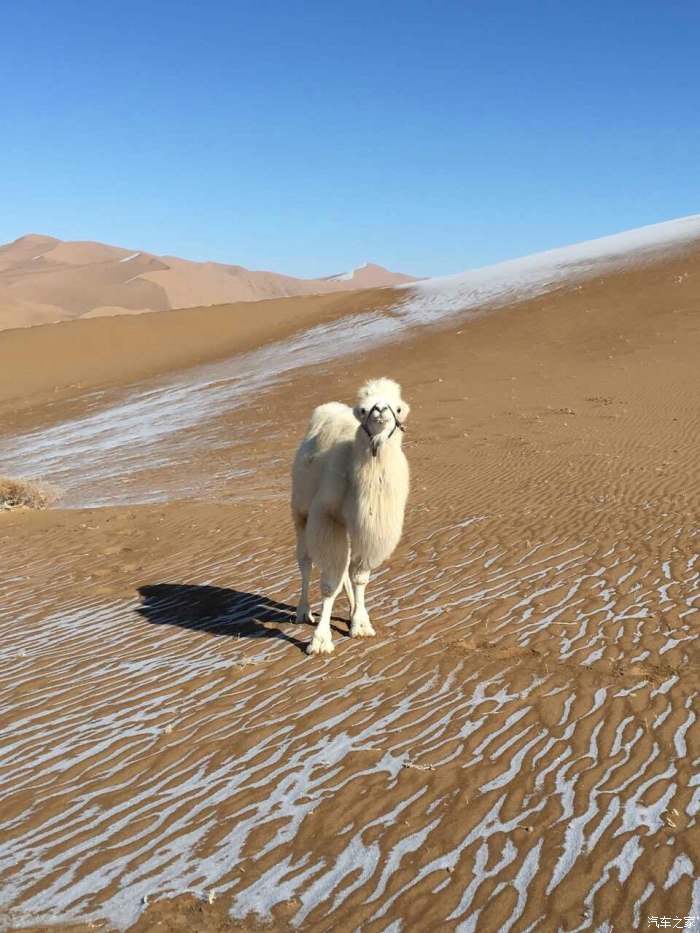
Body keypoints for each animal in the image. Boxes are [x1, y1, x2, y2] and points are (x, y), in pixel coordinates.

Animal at [290, 378, 410, 656]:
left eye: (398, 409)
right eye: (363, 410)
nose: (380, 410)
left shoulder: (369, 530)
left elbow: (359, 577)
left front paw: (361, 624)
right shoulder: (326, 518)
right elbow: (329, 582)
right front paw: (320, 641)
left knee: (344, 568)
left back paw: (354, 608)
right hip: (300, 511)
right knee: (305, 560)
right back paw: (303, 611)